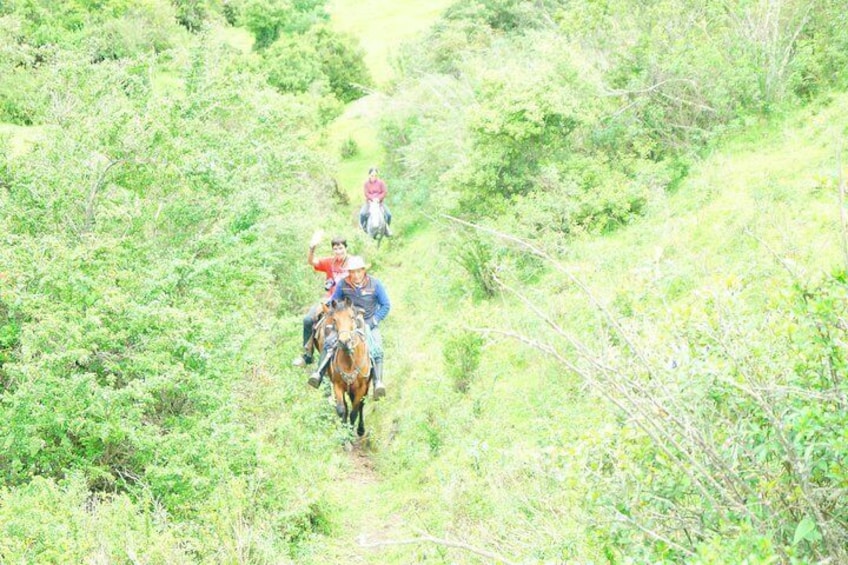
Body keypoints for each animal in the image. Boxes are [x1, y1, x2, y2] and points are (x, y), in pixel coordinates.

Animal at [322, 298, 370, 434]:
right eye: (334, 319)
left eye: (352, 317)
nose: (344, 341)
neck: (350, 361)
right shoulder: (337, 385)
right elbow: (341, 410)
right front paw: (344, 434)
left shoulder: (361, 388)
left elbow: (354, 412)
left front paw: (350, 432)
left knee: (361, 405)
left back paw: (360, 429)